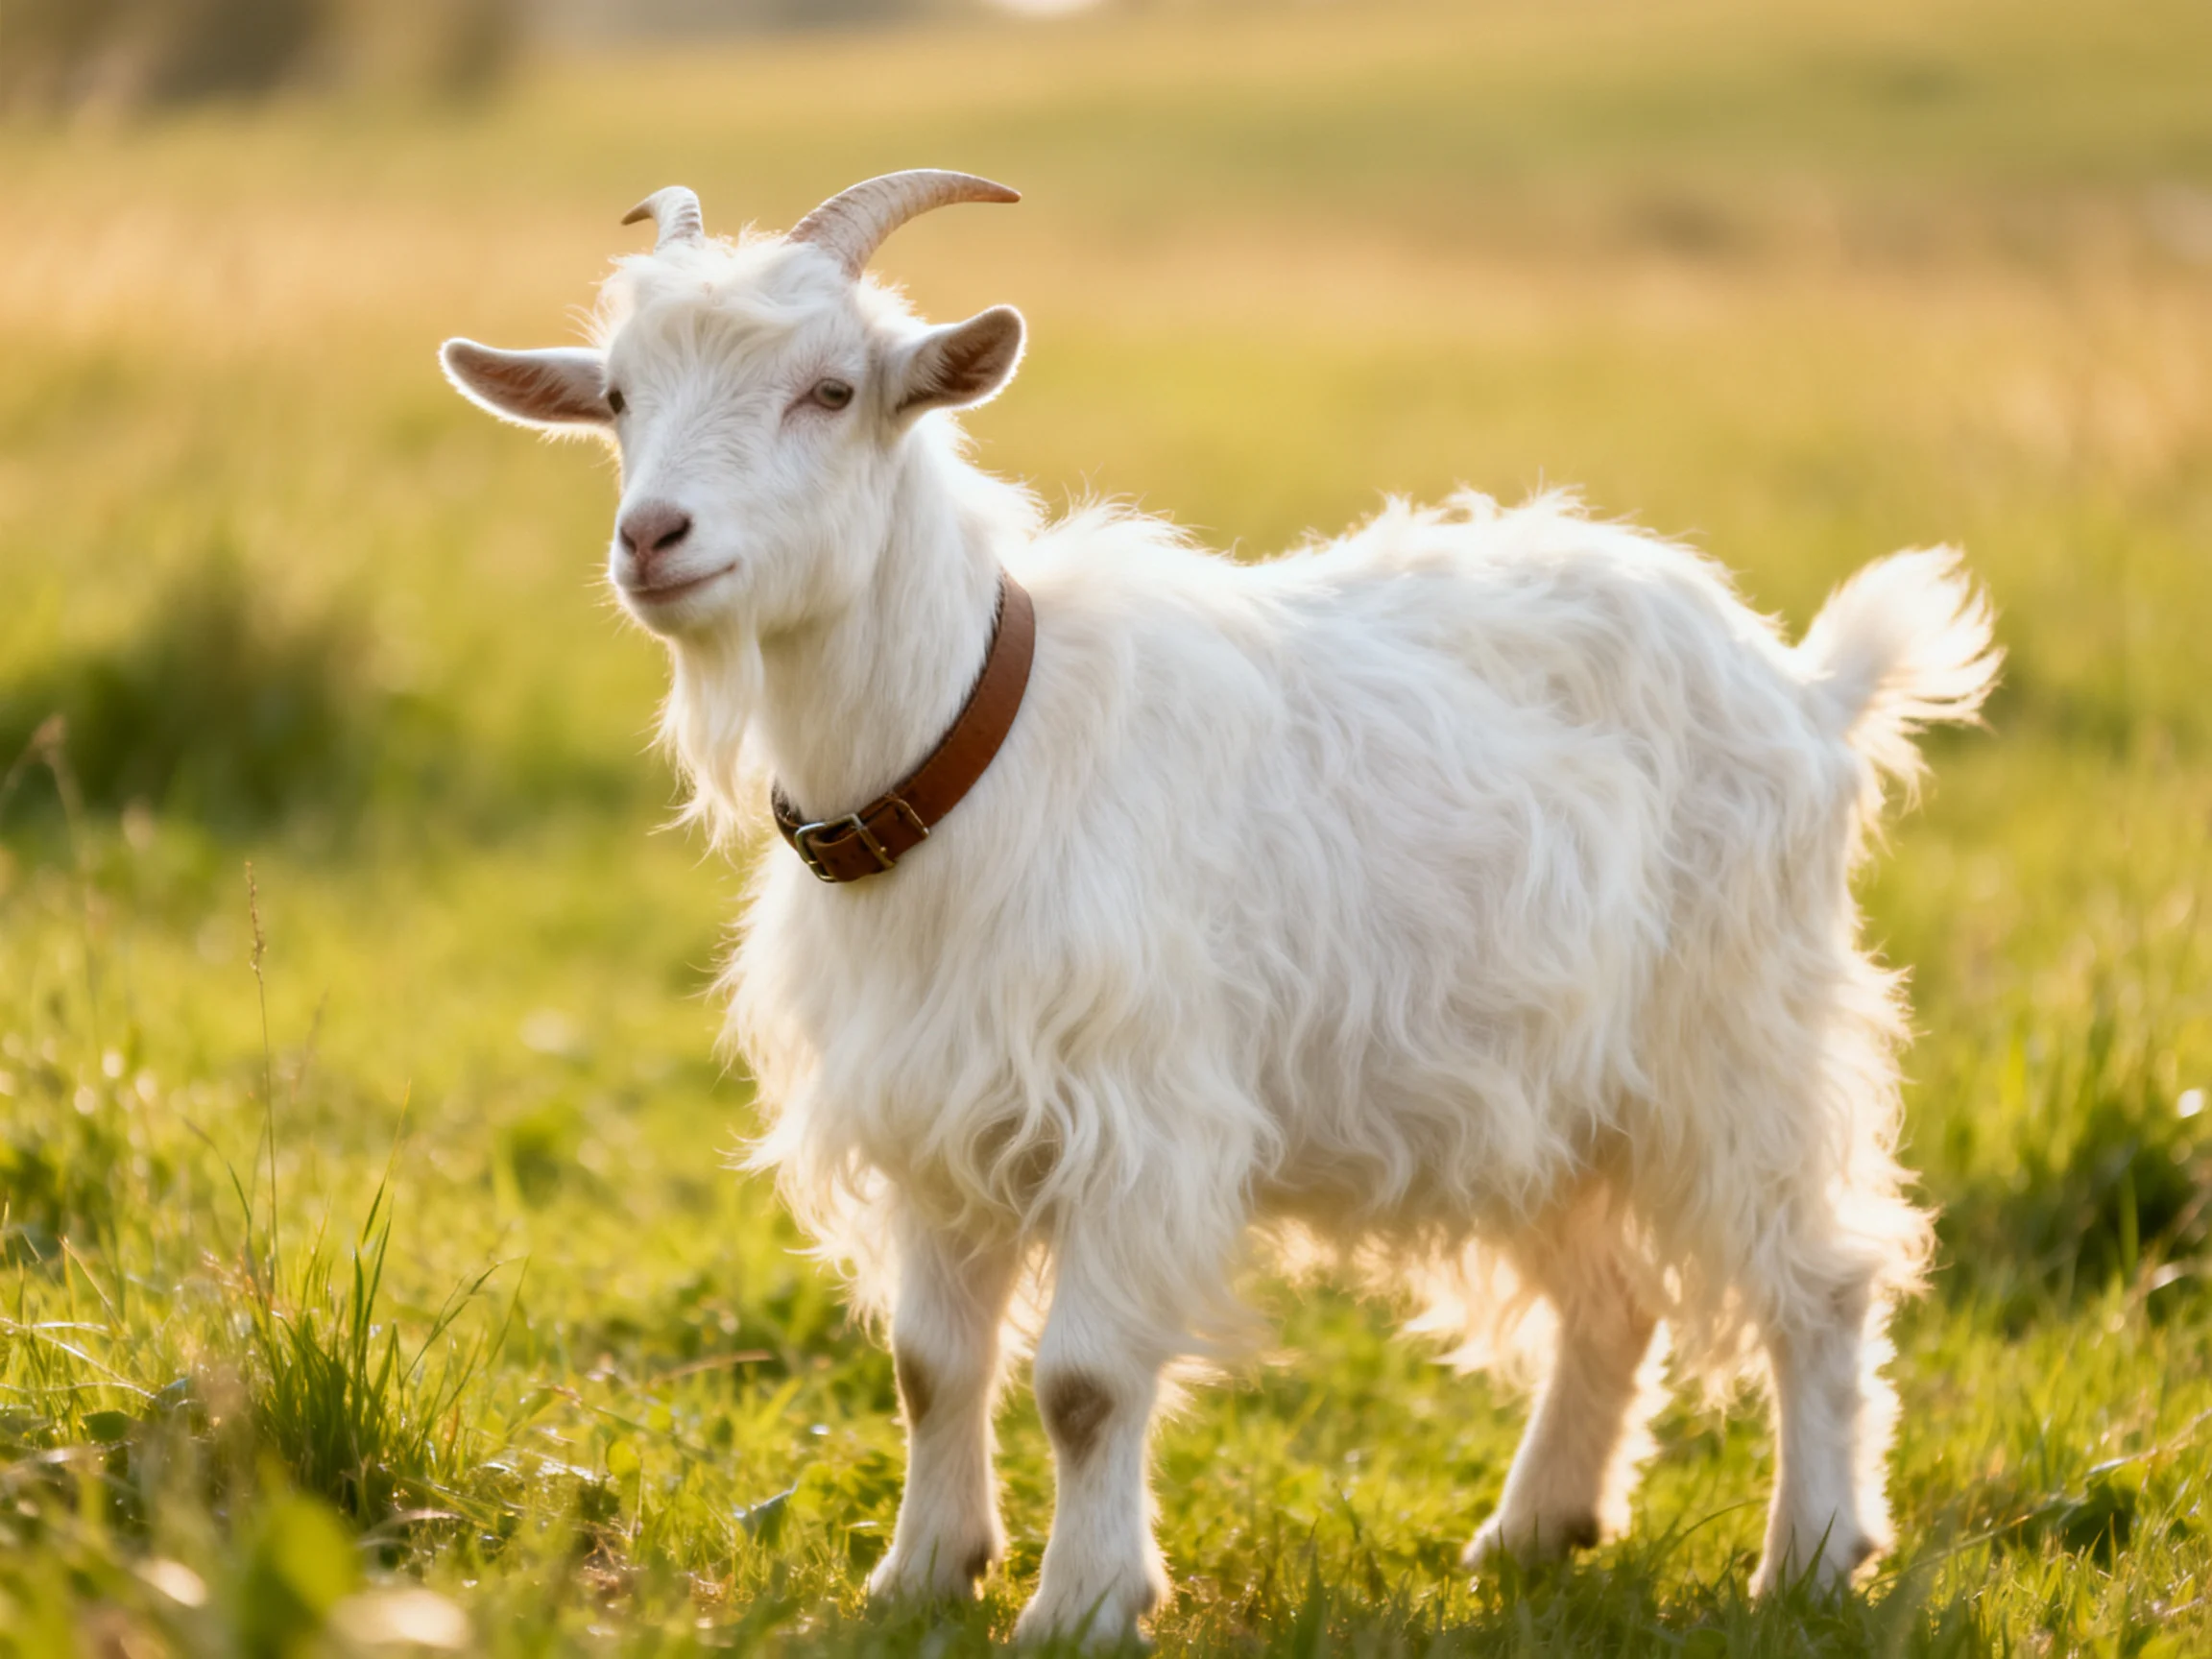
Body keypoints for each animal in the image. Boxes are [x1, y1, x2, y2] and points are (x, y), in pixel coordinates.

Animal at [441, 172, 2000, 1643]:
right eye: (619, 396)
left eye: (830, 389)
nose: (654, 538)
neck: (969, 749)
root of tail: (1804, 685)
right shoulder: (938, 1114)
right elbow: (931, 1366)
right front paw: (920, 1577)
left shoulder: (1139, 1117)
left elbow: (1080, 1382)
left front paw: (1081, 1605)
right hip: (1544, 1086)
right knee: (1613, 1295)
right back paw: (1532, 1533)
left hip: (1737, 1037)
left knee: (1819, 1279)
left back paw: (1810, 1559)